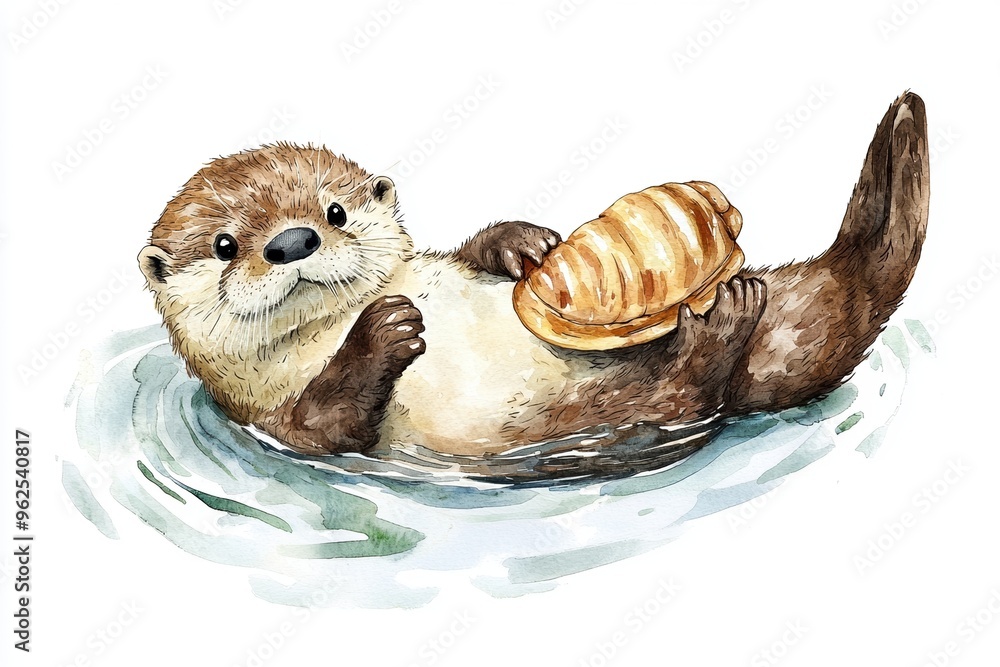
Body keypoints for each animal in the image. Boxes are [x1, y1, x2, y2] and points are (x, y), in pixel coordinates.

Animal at [138, 92, 929, 462]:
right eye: (225, 245)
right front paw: (383, 329)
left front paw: (521, 243)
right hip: (618, 410)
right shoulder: (267, 420)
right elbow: (324, 423)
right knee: (689, 389)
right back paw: (725, 317)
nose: (293, 240)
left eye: (333, 211)